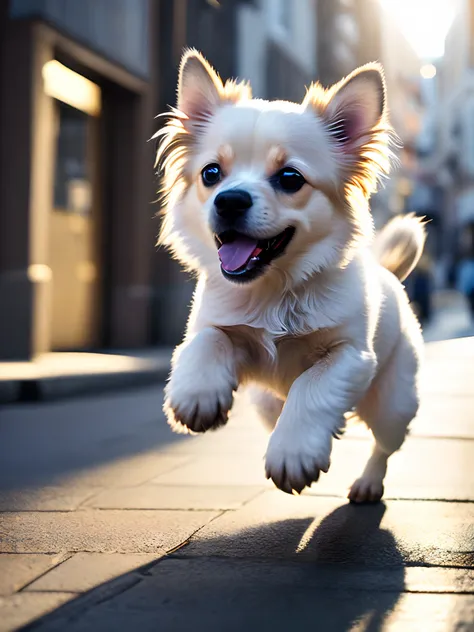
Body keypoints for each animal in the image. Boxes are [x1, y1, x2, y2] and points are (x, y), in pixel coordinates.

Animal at [156, 50, 426, 504]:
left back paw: (368, 482)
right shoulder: (223, 329)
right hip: (266, 404)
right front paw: (197, 395)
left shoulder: (348, 356)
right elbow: (206, 340)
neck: (273, 291)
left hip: (393, 405)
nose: (229, 200)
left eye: (289, 178)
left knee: (384, 446)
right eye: (211, 174)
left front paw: (294, 453)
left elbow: (311, 389)